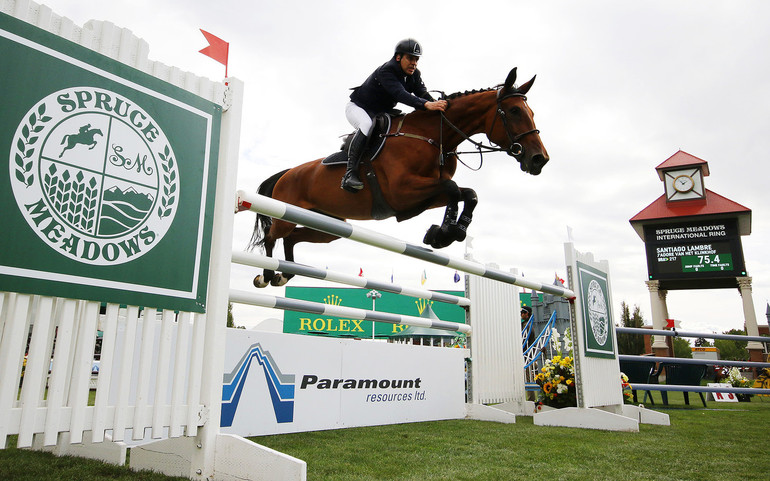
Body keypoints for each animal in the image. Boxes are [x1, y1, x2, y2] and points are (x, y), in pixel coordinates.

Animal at [246, 66, 544, 284]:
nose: (539, 159)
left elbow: (467, 193)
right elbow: (452, 187)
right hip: (286, 213)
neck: (433, 137)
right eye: (514, 111)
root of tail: (286, 174)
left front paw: (448, 231)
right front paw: (444, 233)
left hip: (329, 225)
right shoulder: (402, 192)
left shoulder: (421, 197)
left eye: (530, 111)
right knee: (271, 235)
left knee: (291, 237)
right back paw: (268, 274)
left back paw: (286, 273)